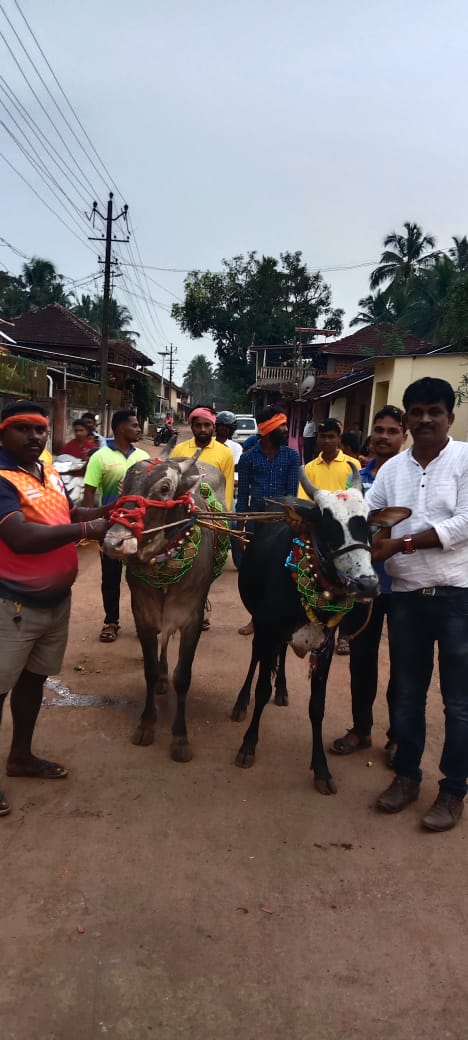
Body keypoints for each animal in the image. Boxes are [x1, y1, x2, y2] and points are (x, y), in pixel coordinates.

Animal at [232, 467, 405, 790]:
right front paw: (248, 745)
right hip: (260, 624)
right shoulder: (268, 628)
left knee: (281, 655)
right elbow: (261, 688)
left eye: (368, 524)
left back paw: (283, 689)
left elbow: (317, 707)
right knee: (256, 657)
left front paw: (321, 770)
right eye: (328, 523)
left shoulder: (324, 646)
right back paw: (241, 701)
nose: (367, 584)